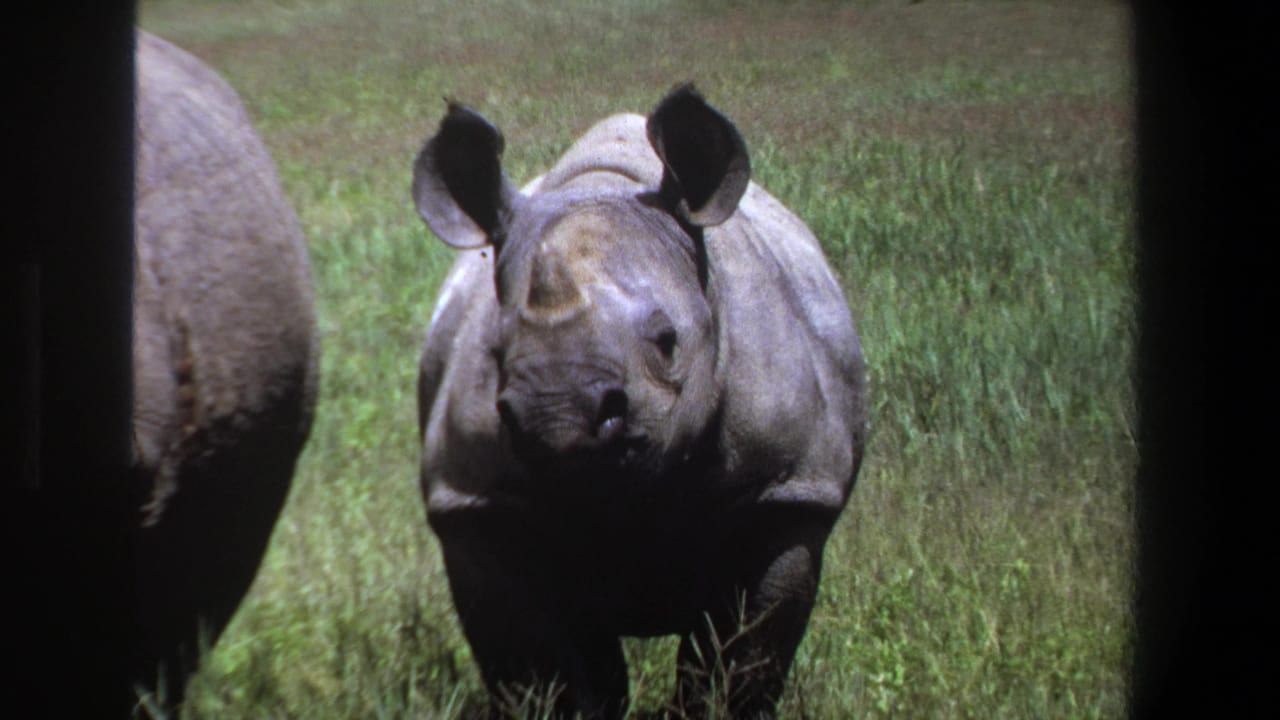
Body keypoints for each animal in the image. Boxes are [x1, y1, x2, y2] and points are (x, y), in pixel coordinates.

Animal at [413, 86, 866, 719]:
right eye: (496, 352)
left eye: (667, 341)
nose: (558, 416)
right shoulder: (474, 505)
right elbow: (540, 674)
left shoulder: (787, 491)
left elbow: (733, 669)